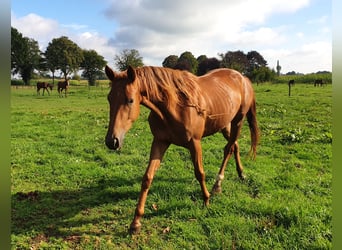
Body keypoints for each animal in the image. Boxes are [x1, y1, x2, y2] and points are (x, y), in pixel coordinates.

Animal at [104, 65, 260, 233]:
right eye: (109, 98)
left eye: (130, 100)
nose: (112, 141)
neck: (175, 106)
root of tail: (243, 78)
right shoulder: (160, 142)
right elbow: (147, 178)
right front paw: (136, 222)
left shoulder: (195, 143)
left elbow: (199, 173)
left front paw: (206, 200)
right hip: (224, 124)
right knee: (235, 146)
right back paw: (241, 174)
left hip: (238, 121)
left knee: (228, 149)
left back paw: (217, 185)